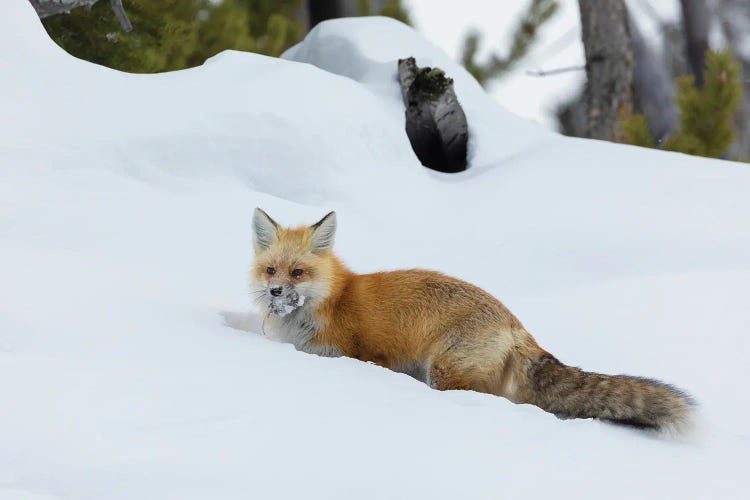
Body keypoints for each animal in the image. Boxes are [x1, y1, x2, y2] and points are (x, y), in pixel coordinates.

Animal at [254, 208, 700, 434]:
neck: (329, 302)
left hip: (445, 372)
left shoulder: (356, 355)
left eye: (298, 273)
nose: (274, 293)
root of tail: (517, 325)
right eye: (270, 271)